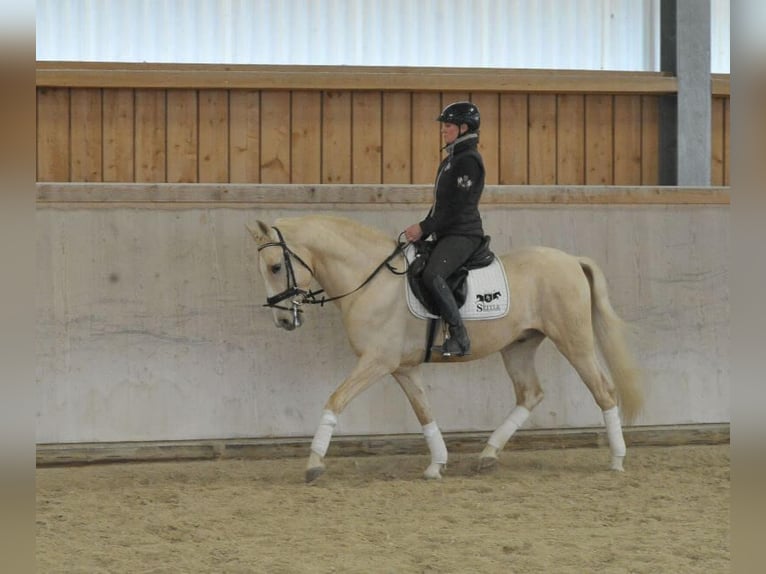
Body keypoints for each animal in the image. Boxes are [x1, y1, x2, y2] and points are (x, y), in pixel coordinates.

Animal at [249, 214, 644, 484]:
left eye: (275, 266)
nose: (283, 320)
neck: (371, 280)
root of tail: (571, 260)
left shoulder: (376, 362)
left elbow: (335, 401)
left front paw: (314, 463)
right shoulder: (402, 367)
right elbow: (424, 412)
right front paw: (436, 464)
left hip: (574, 341)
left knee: (604, 391)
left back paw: (617, 459)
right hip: (518, 347)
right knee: (530, 394)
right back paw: (488, 455)